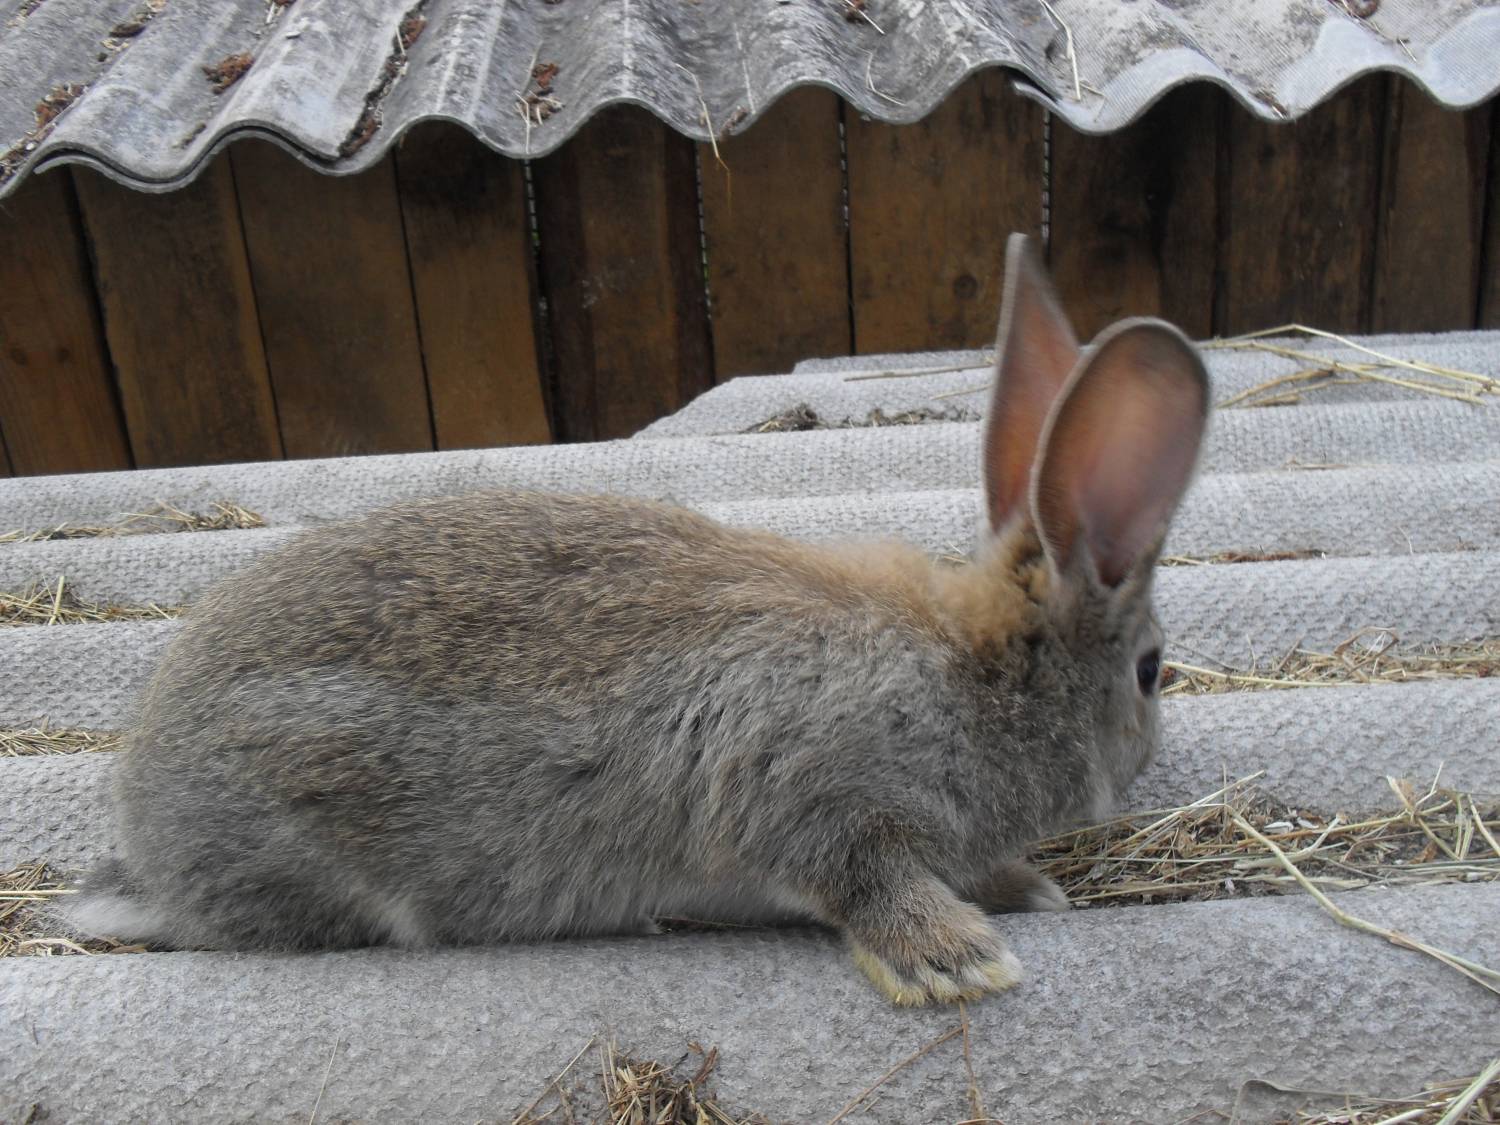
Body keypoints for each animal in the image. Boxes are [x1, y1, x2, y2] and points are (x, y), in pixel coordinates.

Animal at [73, 233, 1209, 1007]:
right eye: (1153, 671)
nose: (1148, 759)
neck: (971, 677)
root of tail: (148, 841)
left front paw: (1025, 892)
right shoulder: (812, 787)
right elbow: (859, 875)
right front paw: (956, 960)